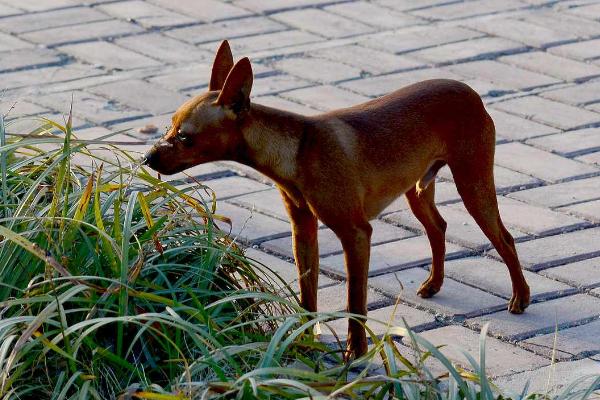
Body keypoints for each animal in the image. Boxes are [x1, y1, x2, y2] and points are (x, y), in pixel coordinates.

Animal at [144, 40, 528, 358]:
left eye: (185, 138)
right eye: (168, 126)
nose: (147, 158)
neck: (298, 150)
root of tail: (469, 90)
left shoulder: (356, 235)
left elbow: (355, 299)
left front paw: (355, 352)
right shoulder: (303, 233)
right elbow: (307, 293)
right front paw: (302, 340)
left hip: (473, 185)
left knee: (505, 238)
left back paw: (520, 297)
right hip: (417, 191)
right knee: (438, 227)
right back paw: (434, 282)